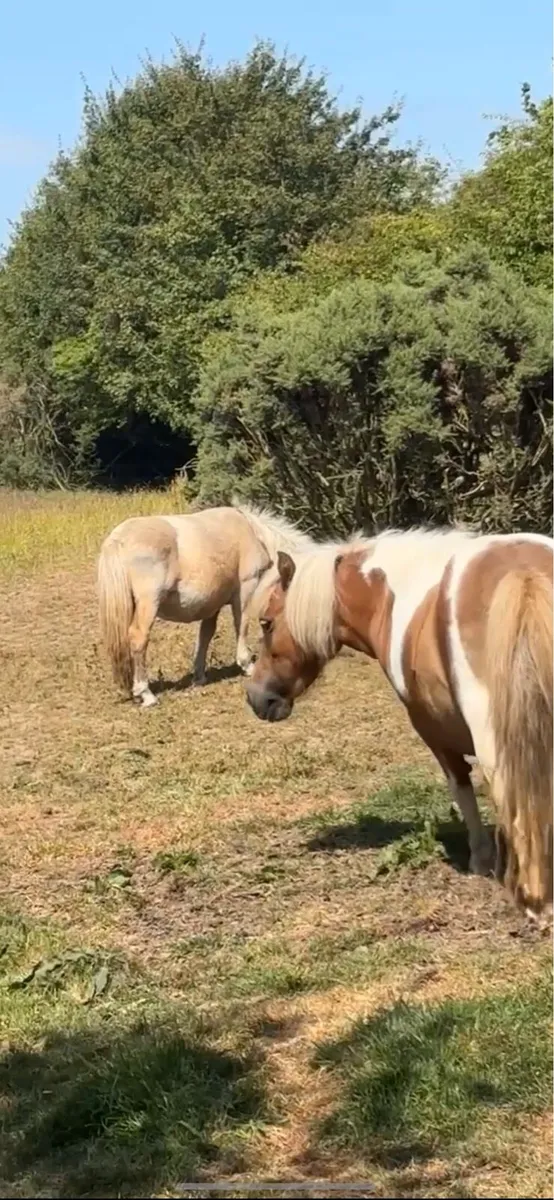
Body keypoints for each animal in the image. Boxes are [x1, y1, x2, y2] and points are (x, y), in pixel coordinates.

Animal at [97, 503, 314, 707]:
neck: (254, 533)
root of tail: (117, 540)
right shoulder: (245, 590)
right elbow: (241, 625)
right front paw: (247, 665)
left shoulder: (212, 604)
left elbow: (206, 635)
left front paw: (199, 676)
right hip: (149, 603)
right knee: (138, 638)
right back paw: (146, 694)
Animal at [246, 528, 553, 918]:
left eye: (266, 622)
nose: (256, 697)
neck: (391, 595)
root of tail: (523, 575)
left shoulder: (432, 731)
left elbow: (462, 789)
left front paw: (481, 860)